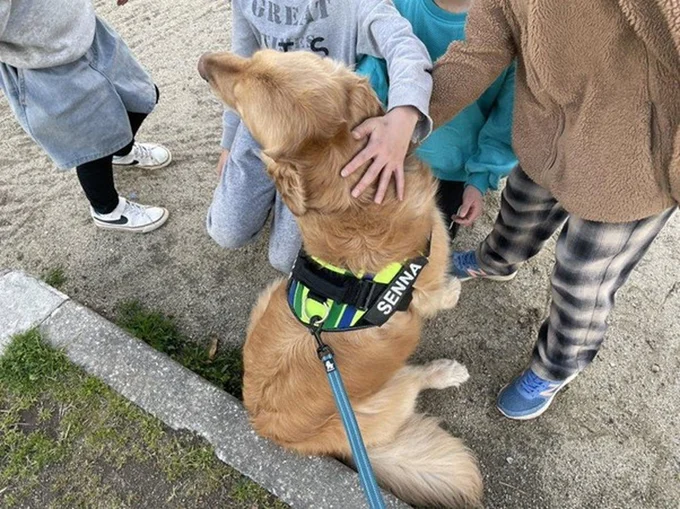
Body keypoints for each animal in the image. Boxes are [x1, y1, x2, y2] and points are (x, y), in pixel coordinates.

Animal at [198, 48, 484, 508]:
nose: (204, 62)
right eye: (239, 100)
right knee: (415, 381)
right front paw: (453, 290)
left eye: (261, 57)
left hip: (268, 296)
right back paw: (446, 371)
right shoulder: (424, 280)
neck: (355, 203)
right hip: (384, 399)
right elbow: (437, 295)